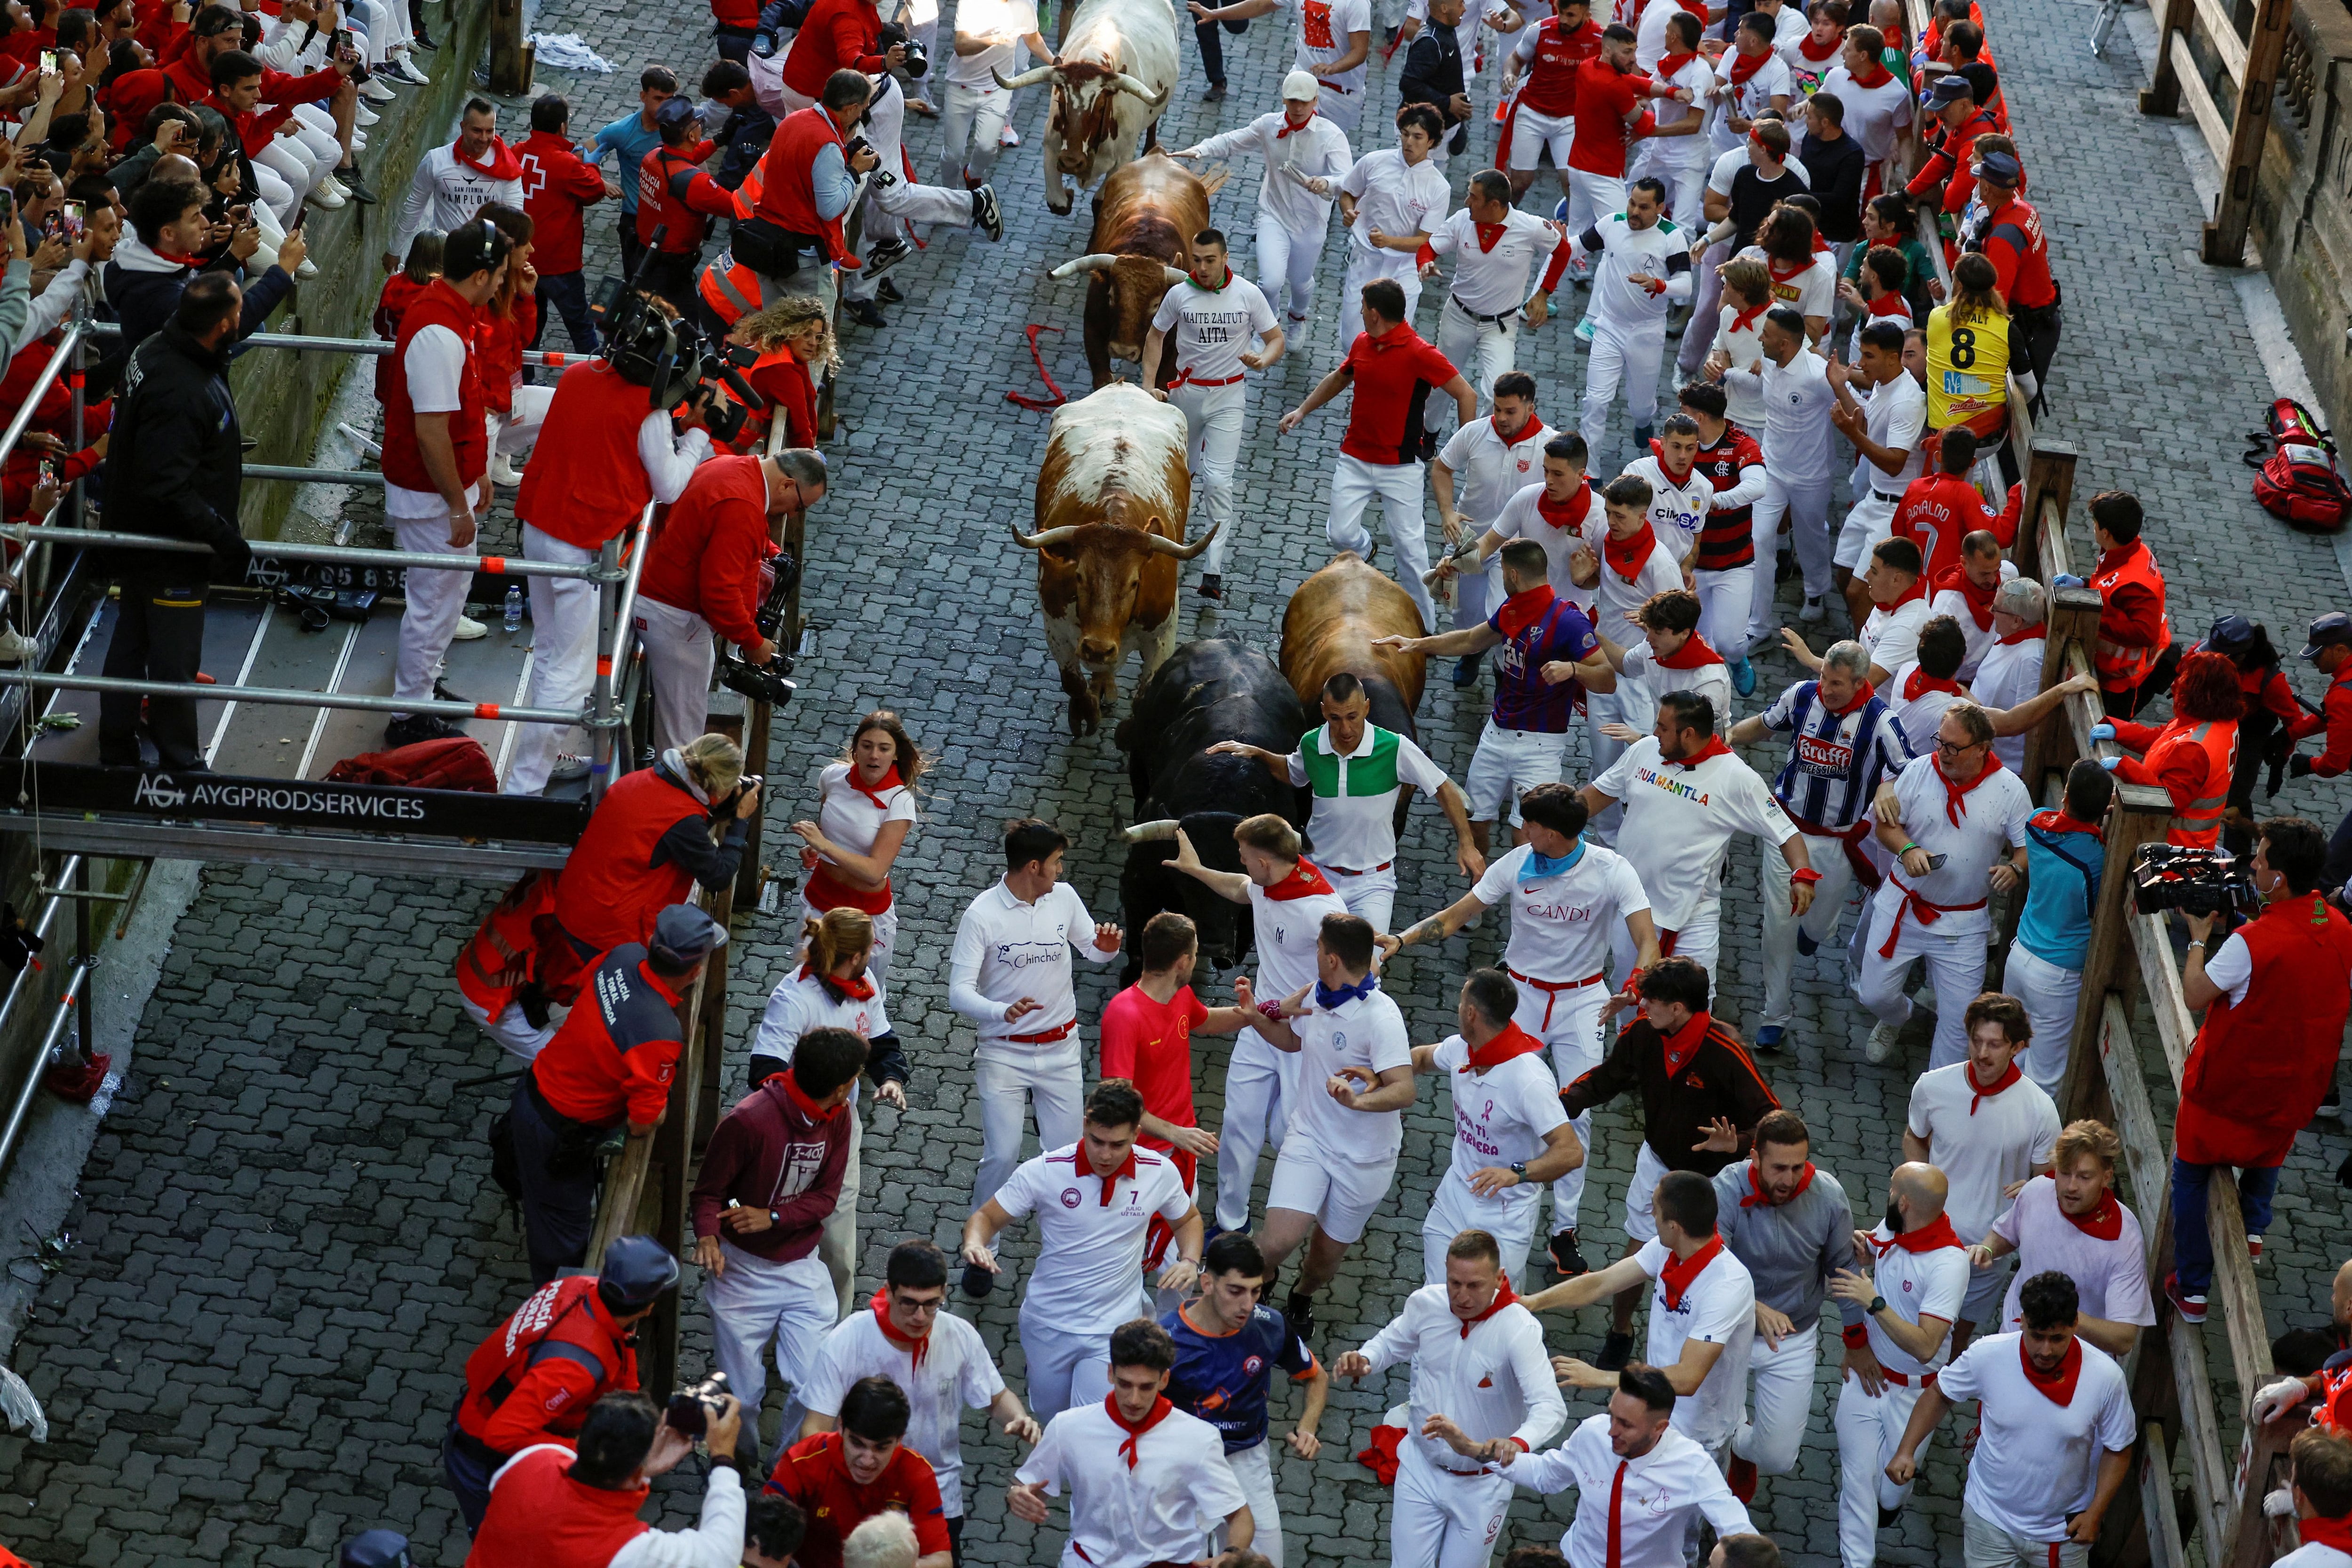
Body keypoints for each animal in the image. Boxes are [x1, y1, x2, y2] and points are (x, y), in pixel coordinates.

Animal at [1011, 385, 1214, 743]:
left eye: (1135, 582)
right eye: (1079, 576)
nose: (1097, 648)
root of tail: (1122, 386)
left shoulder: (1163, 636)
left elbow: (1146, 696)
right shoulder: (1056, 627)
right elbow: (1073, 682)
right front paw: (1086, 713)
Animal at [1054, 150, 1223, 390]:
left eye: (1156, 305)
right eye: (1111, 296)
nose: (1123, 352)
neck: (1145, 251)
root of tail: (1158, 155)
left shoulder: (1174, 349)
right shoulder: (1093, 329)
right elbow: (1103, 380)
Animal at [1115, 639, 1317, 982]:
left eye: (1244, 872)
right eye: (1188, 878)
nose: (1213, 946)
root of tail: (1229, 640)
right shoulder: (1138, 883)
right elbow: (1138, 951)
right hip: (1138, 766)